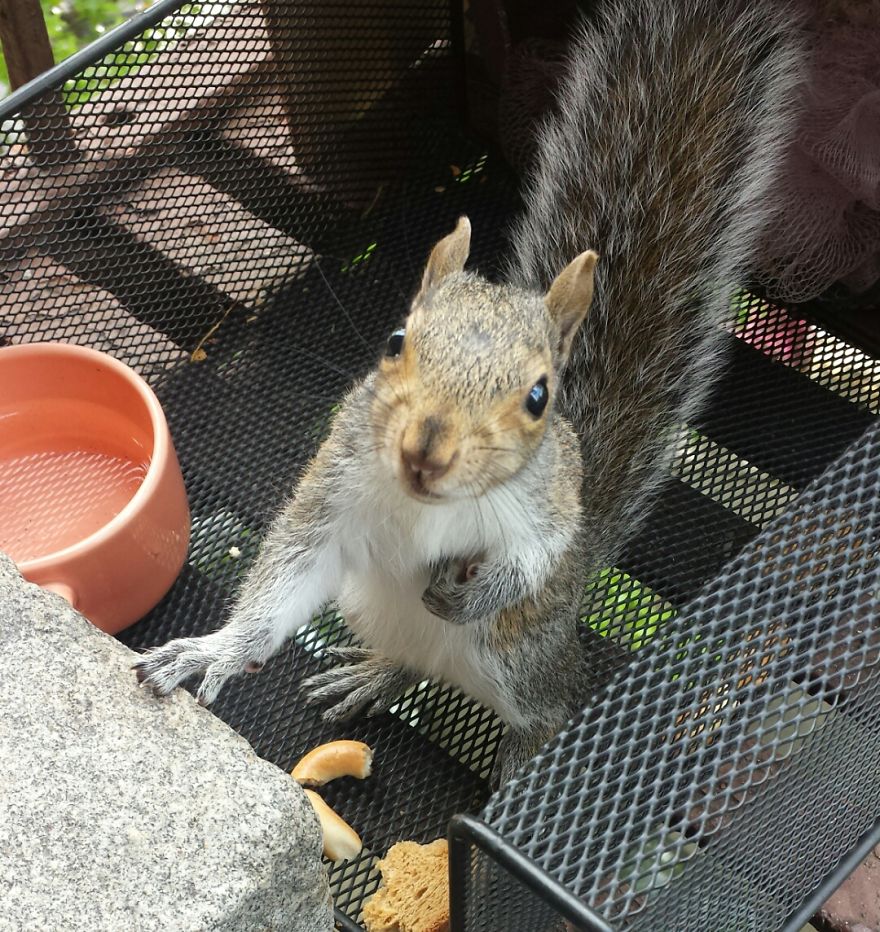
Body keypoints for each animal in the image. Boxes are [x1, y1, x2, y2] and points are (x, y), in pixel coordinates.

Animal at [134, 0, 804, 785]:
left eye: (540, 396)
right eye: (396, 341)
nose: (427, 451)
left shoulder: (545, 512)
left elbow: (532, 558)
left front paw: (471, 594)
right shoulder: (334, 492)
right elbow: (286, 579)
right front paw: (214, 650)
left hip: (522, 659)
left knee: (547, 709)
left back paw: (520, 766)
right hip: (368, 605)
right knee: (411, 659)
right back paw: (379, 673)